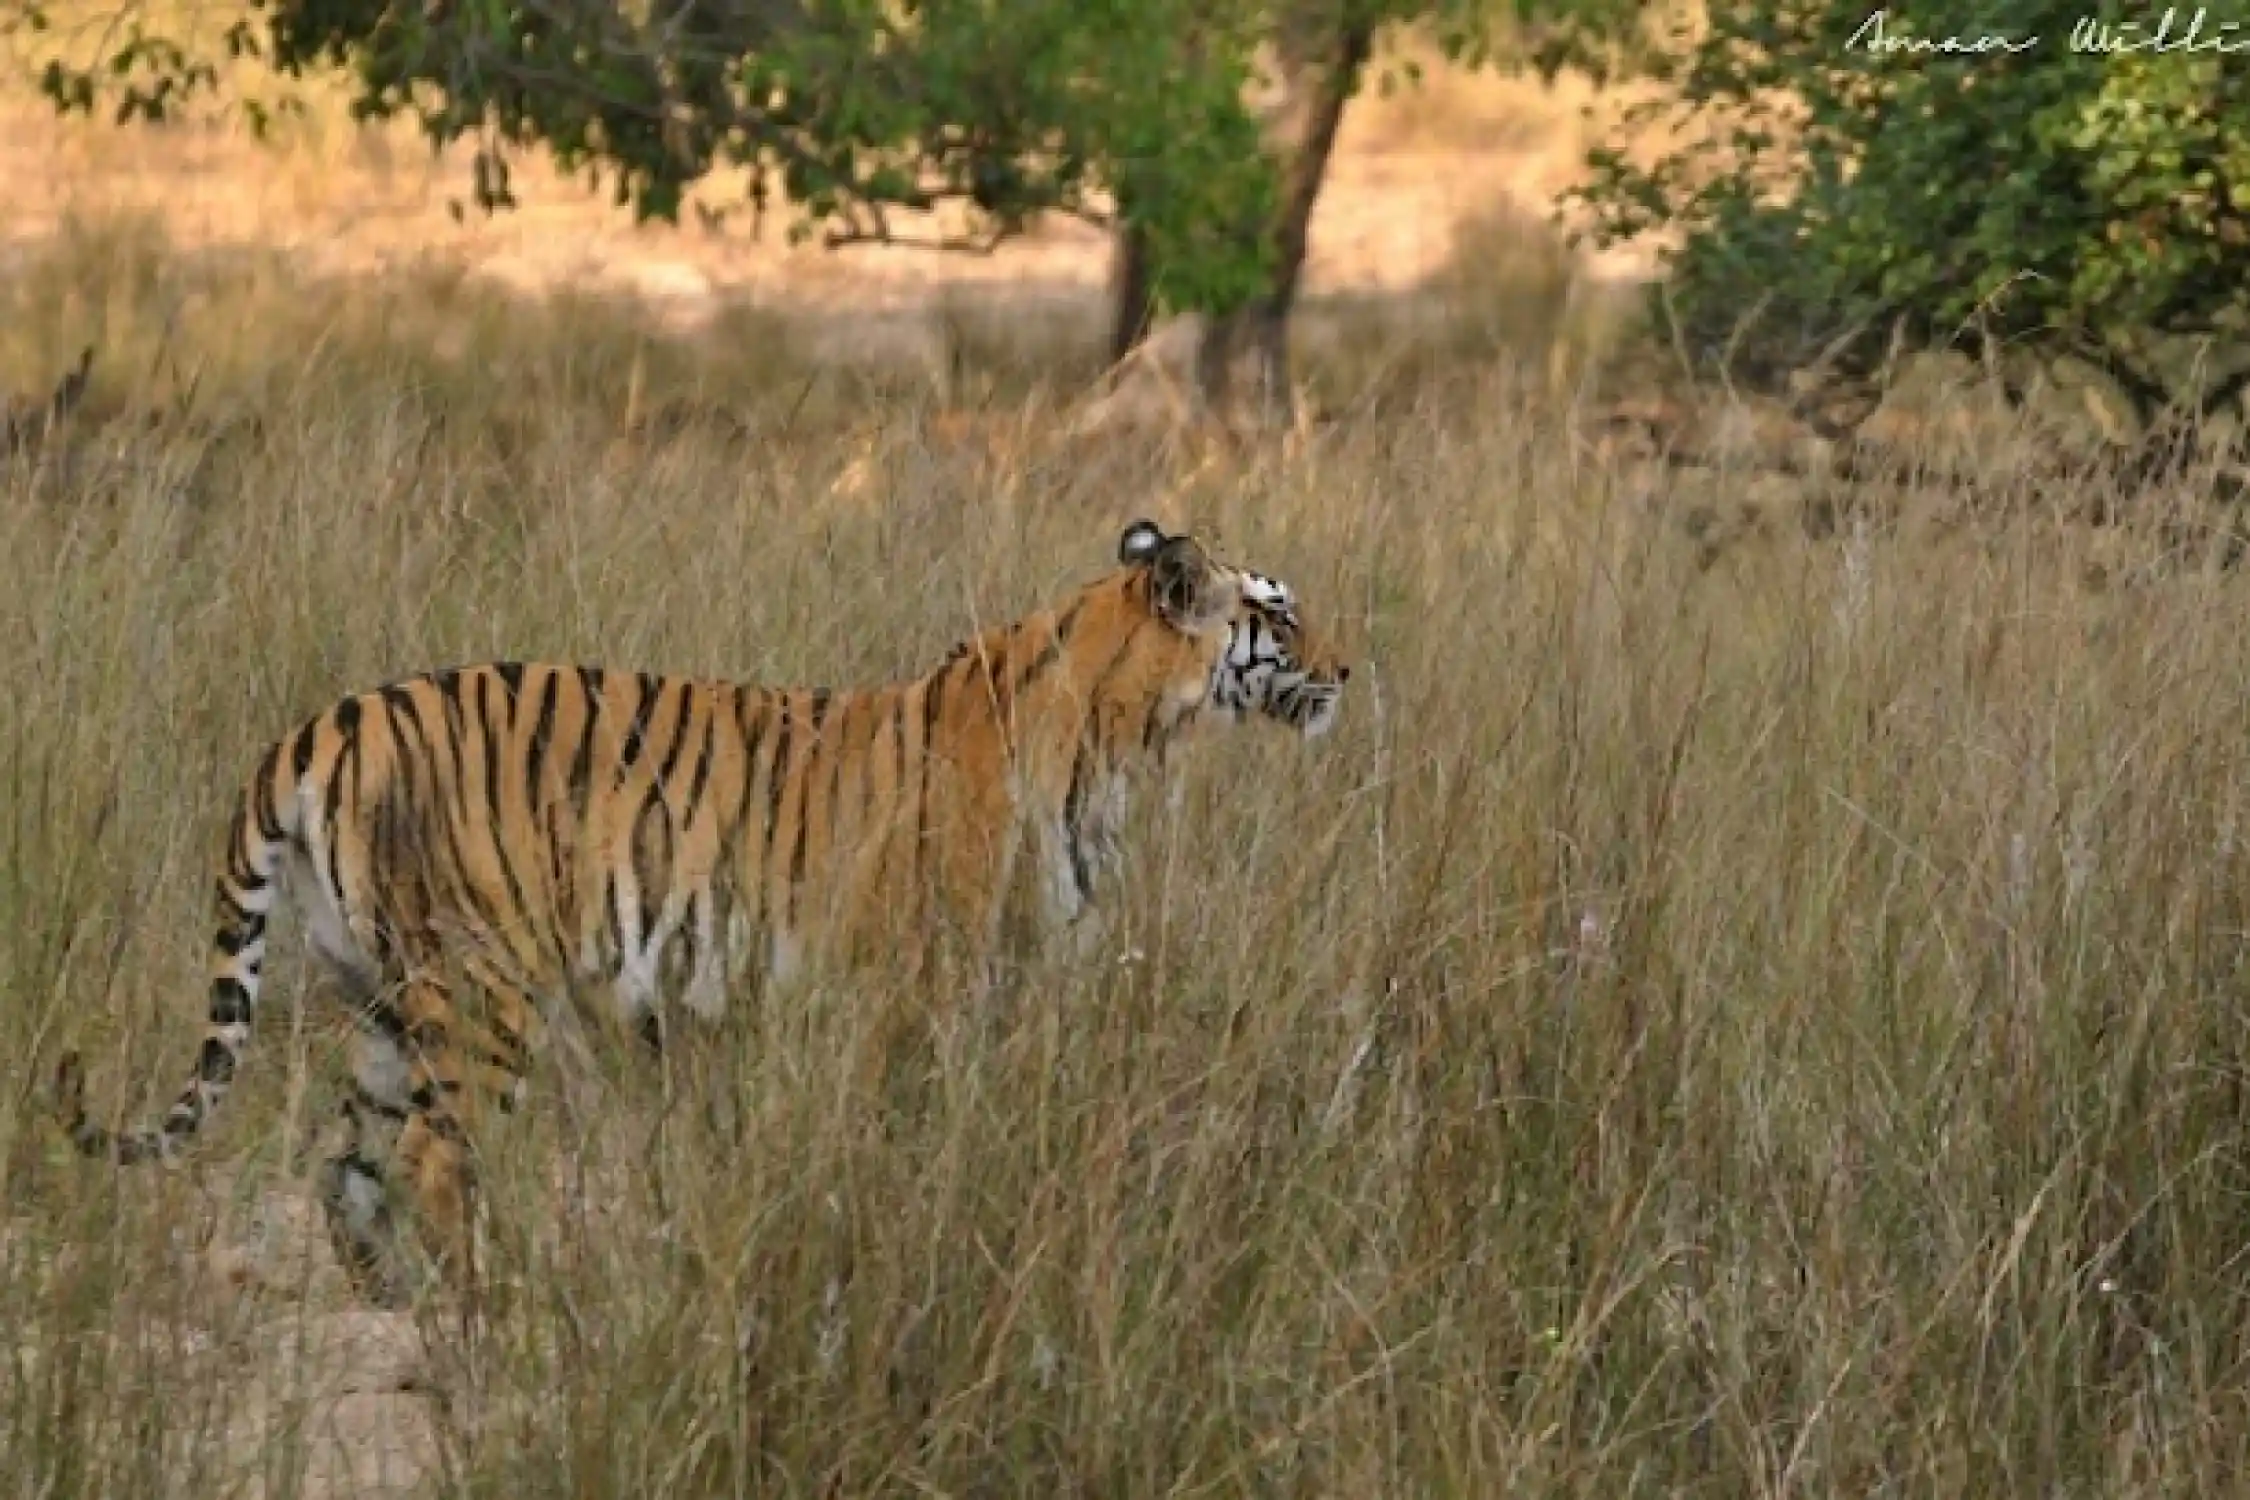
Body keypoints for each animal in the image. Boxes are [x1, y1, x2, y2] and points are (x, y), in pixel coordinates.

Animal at [57, 521, 1350, 1304]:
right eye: (1280, 616)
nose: (1350, 670)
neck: (1125, 730)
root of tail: (312, 727)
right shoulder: (923, 987)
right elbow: (918, 1133)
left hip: (382, 1003)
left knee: (348, 1173)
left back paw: (409, 1323)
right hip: (479, 994)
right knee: (427, 1161)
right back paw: (489, 1313)